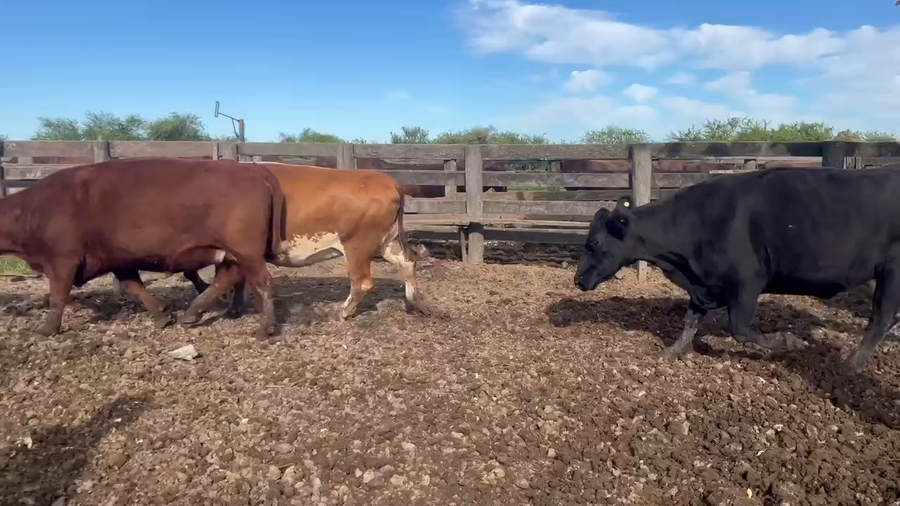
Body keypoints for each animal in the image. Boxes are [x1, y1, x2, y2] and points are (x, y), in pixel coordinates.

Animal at [0, 157, 287, 338]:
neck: (30, 210)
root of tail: (253, 171)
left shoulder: (62, 260)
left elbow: (58, 295)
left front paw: (47, 329)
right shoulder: (119, 260)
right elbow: (134, 287)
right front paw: (161, 316)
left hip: (245, 251)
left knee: (261, 281)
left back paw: (266, 328)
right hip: (230, 253)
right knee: (227, 279)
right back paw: (192, 314)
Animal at [178, 163, 427, 320]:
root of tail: (387, 180)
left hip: (357, 245)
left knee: (362, 282)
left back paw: (342, 311)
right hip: (387, 242)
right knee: (408, 263)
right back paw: (413, 302)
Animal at [573, 166, 900, 372]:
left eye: (593, 244)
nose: (577, 279)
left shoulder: (746, 283)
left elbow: (740, 329)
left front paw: (787, 342)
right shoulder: (704, 285)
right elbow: (689, 321)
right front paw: (671, 351)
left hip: (891, 270)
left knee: (880, 317)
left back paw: (851, 366)